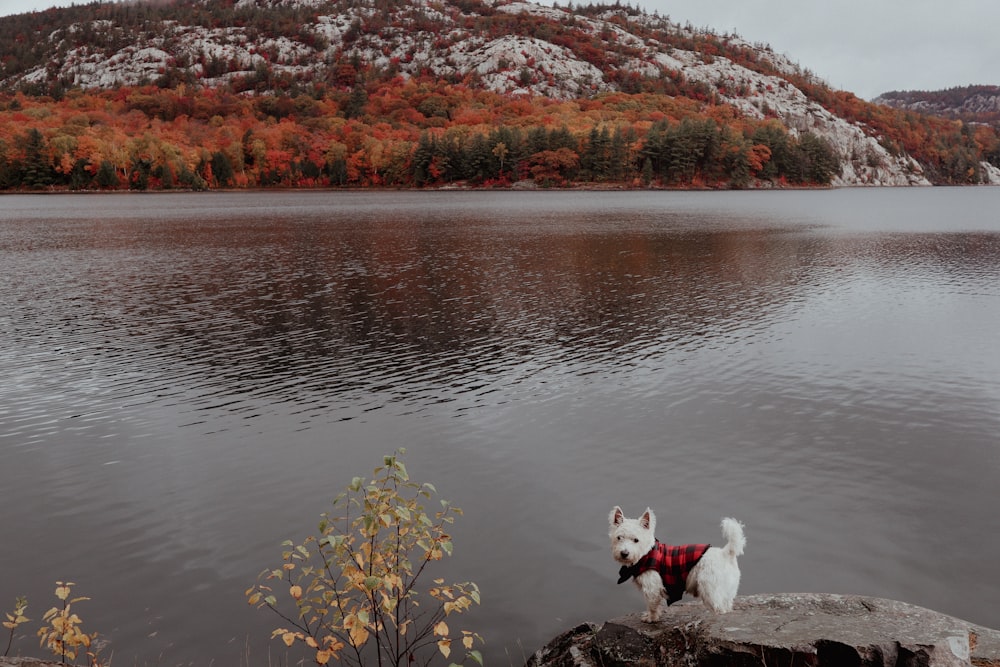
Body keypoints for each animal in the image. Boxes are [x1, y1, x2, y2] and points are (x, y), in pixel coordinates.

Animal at [608, 508, 744, 624]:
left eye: (636, 540)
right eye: (619, 537)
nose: (624, 553)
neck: (646, 554)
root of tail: (726, 553)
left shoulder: (652, 588)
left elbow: (652, 605)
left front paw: (651, 618)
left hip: (710, 590)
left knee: (719, 609)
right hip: (727, 591)